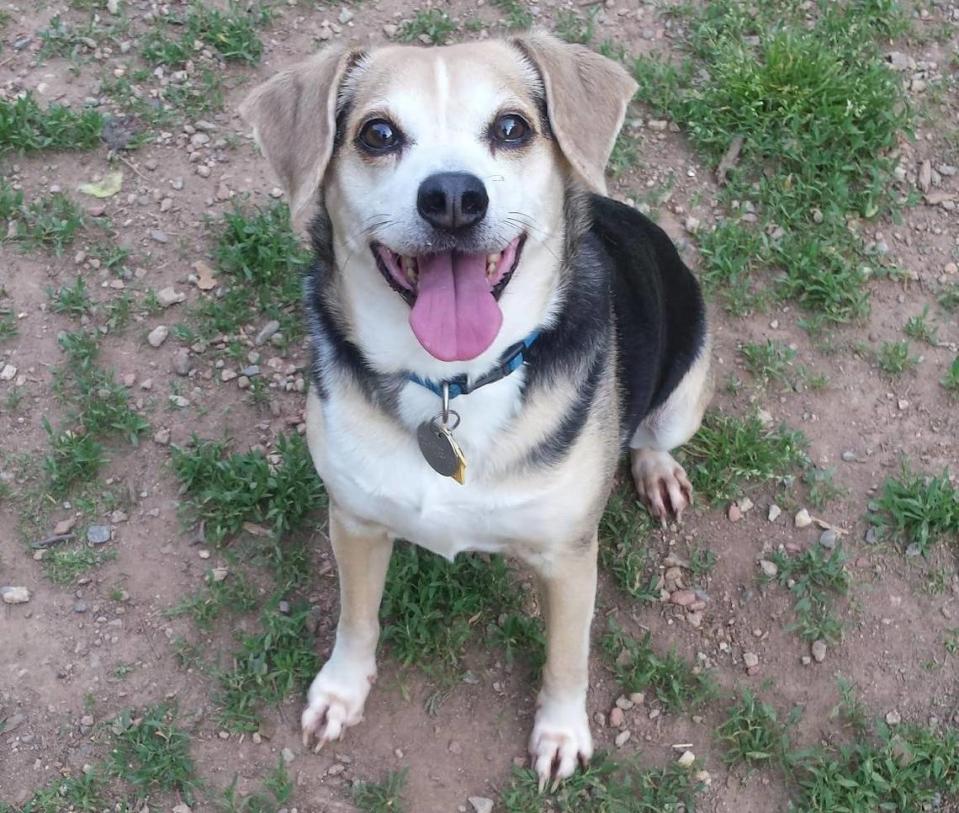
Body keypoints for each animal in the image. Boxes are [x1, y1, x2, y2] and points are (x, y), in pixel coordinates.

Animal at [240, 33, 712, 788]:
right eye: (376, 134)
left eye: (512, 127)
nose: (454, 197)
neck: (449, 384)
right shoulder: (355, 519)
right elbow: (356, 619)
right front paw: (341, 691)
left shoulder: (568, 555)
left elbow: (566, 657)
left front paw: (560, 733)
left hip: (687, 386)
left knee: (653, 434)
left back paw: (656, 469)